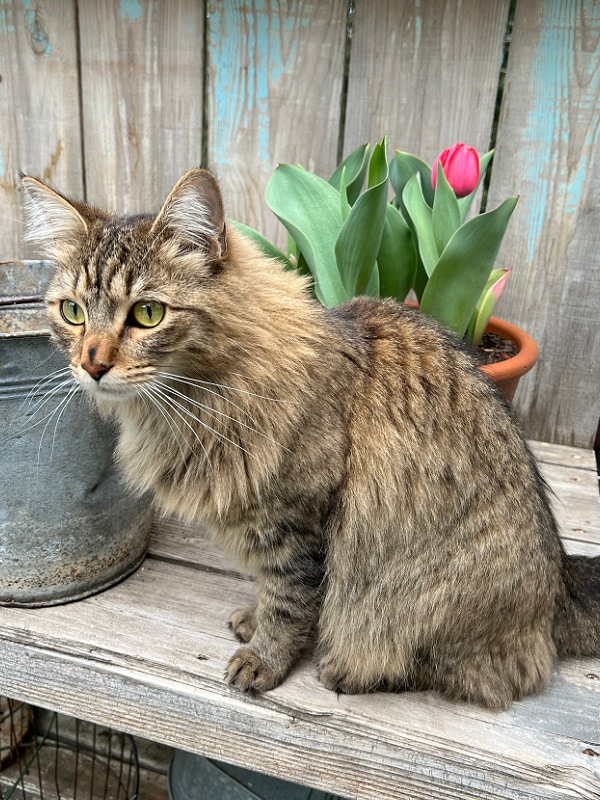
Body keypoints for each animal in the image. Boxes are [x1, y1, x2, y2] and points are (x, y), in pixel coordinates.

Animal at [21, 167, 596, 708]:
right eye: (72, 311)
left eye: (147, 314)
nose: (91, 366)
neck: (200, 399)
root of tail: (560, 582)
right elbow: (270, 590)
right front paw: (254, 620)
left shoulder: (299, 521)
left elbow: (289, 600)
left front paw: (265, 659)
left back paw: (349, 668)